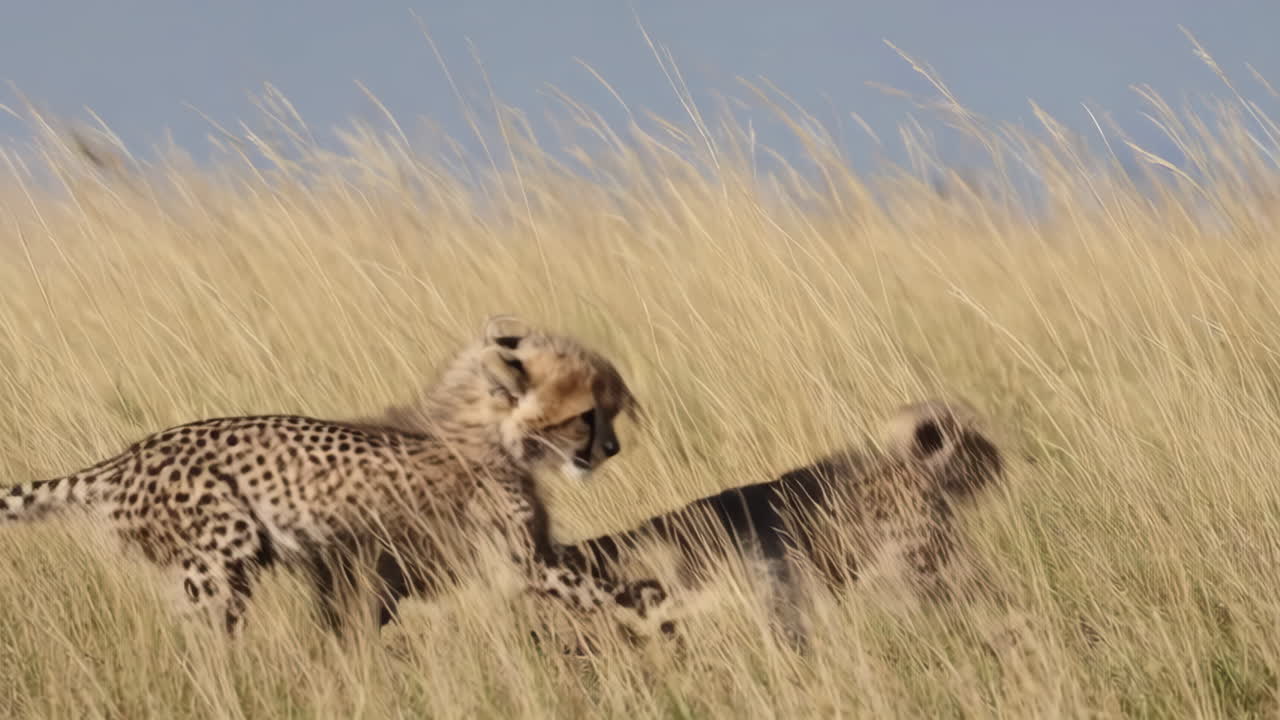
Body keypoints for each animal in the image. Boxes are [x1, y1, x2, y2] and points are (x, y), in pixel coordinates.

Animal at [1, 315, 677, 643]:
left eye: (610, 413)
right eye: (587, 415)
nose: (612, 448)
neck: (486, 430)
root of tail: (126, 457)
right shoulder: (521, 561)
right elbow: (594, 589)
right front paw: (652, 608)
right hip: (220, 556)